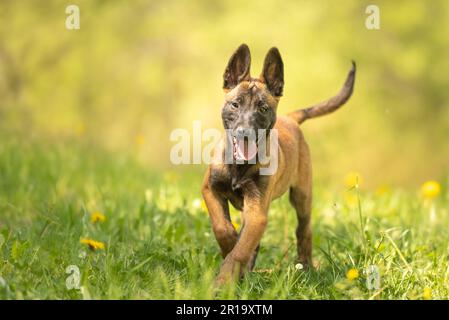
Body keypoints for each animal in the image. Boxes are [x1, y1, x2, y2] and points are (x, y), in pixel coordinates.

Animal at [201, 43, 356, 284]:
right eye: (235, 105)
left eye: (263, 108)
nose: (244, 133)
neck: (239, 167)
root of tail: (290, 118)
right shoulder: (210, 189)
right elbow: (222, 227)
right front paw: (231, 248)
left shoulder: (257, 211)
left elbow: (240, 250)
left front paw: (224, 280)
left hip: (302, 195)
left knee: (304, 230)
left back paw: (305, 268)